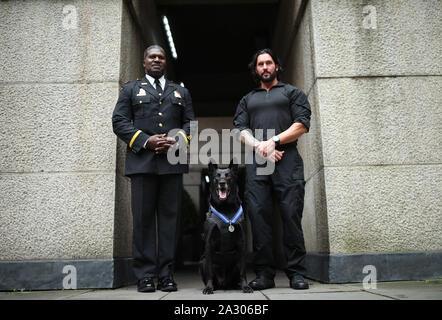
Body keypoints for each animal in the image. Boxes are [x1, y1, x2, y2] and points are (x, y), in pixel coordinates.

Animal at [199, 161, 252, 294]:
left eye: (228, 176)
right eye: (216, 177)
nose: (222, 183)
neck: (225, 207)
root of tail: (224, 284)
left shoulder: (241, 243)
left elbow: (243, 271)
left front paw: (245, 286)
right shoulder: (209, 243)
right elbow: (209, 272)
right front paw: (209, 288)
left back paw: (237, 285)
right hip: (202, 261)